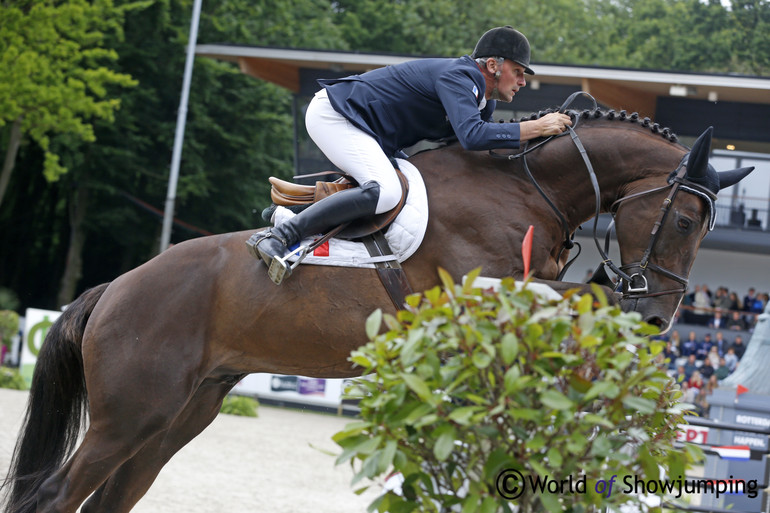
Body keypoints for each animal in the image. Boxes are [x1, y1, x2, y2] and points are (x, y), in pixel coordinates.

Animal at [1, 106, 752, 510]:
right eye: (687, 219)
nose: (658, 318)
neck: (526, 186)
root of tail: (112, 289)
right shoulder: (482, 291)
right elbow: (566, 302)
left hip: (182, 413)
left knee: (114, 493)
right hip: (131, 414)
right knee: (57, 494)